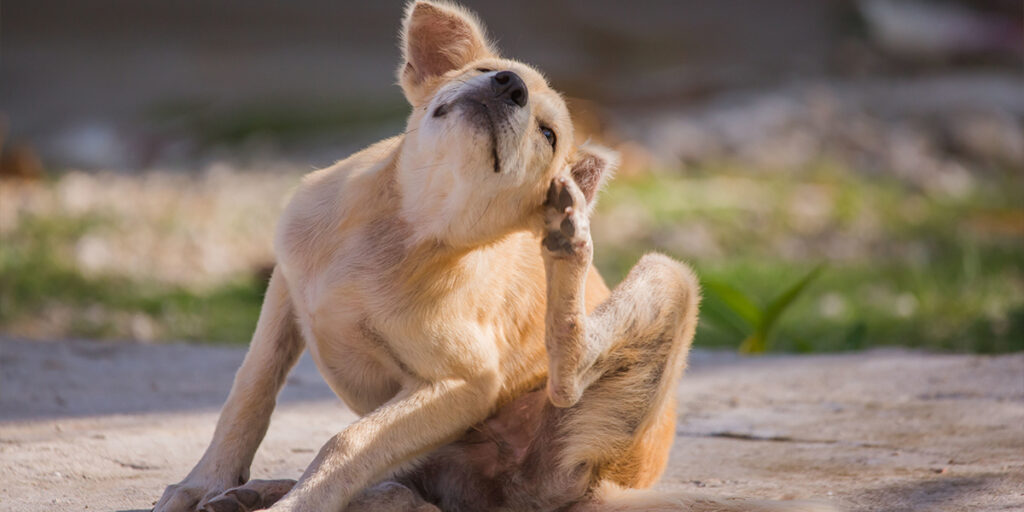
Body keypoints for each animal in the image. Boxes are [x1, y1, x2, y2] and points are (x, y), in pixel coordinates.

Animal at [155, 2, 835, 509]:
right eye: (489, 69)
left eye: (549, 135)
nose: (506, 86)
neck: (404, 227)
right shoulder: (285, 290)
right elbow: (248, 394)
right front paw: (203, 483)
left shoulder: (463, 383)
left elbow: (347, 443)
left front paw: (296, 503)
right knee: (407, 490)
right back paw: (261, 493)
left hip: (655, 298)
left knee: (563, 378)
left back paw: (569, 240)